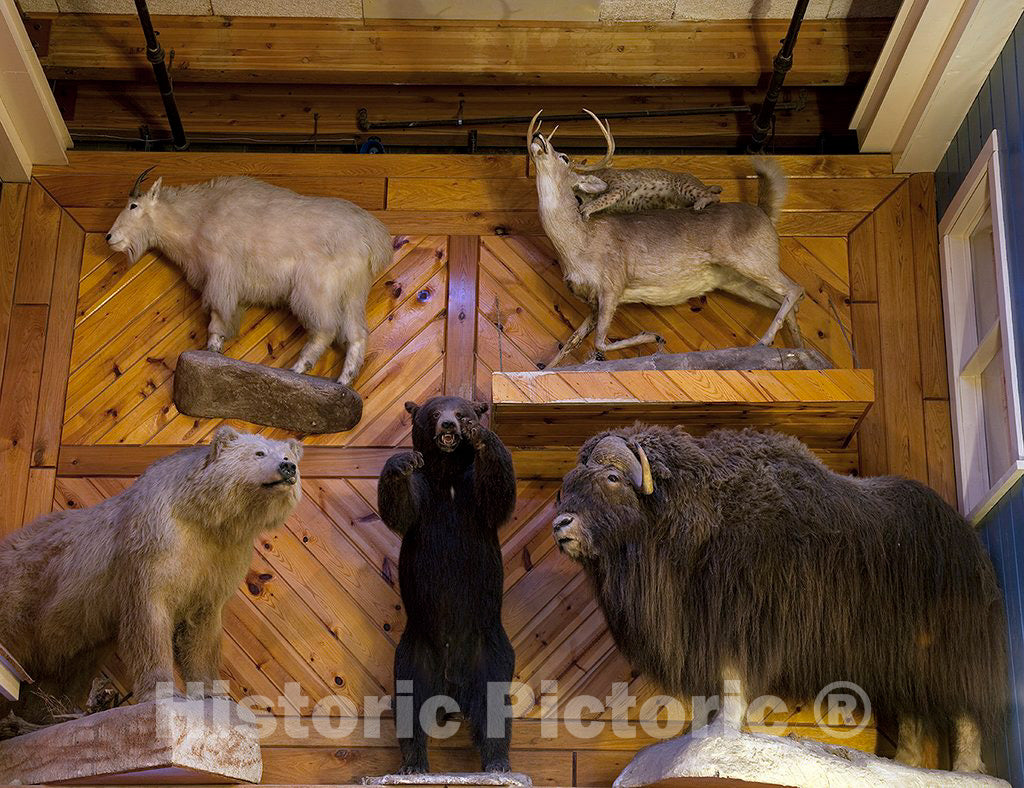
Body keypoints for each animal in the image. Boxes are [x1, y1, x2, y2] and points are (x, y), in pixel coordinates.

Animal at [103, 167, 391, 384]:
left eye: (133, 205)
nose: (109, 237)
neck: (199, 217)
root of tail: (373, 238)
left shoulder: (221, 274)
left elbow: (217, 315)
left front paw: (212, 350)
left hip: (316, 290)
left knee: (325, 329)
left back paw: (298, 368)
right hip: (352, 293)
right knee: (356, 334)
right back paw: (344, 380)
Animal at [376, 397, 516, 769]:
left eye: (462, 412)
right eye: (435, 413)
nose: (450, 425)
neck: (448, 474)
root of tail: (452, 687)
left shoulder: (471, 493)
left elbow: (497, 495)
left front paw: (481, 436)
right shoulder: (426, 493)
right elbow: (400, 509)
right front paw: (402, 461)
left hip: (491, 649)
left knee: (494, 706)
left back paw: (497, 760)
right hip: (413, 654)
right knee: (409, 706)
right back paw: (413, 763)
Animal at [532, 108, 802, 368]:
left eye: (564, 157)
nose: (538, 136)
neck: (579, 243)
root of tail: (764, 212)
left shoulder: (612, 283)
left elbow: (600, 341)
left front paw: (655, 337)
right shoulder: (592, 300)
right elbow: (572, 341)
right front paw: (546, 367)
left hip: (752, 259)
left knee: (795, 289)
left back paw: (765, 342)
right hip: (737, 280)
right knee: (786, 301)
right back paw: (799, 350)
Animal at [557, 425, 1003, 769]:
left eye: (611, 478)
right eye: (567, 486)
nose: (560, 525)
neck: (694, 518)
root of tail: (968, 541)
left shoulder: (737, 623)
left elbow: (731, 682)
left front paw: (723, 732)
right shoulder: (698, 632)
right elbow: (705, 693)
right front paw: (697, 733)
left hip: (951, 650)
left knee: (965, 709)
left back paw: (966, 769)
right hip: (902, 659)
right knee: (913, 710)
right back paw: (904, 764)